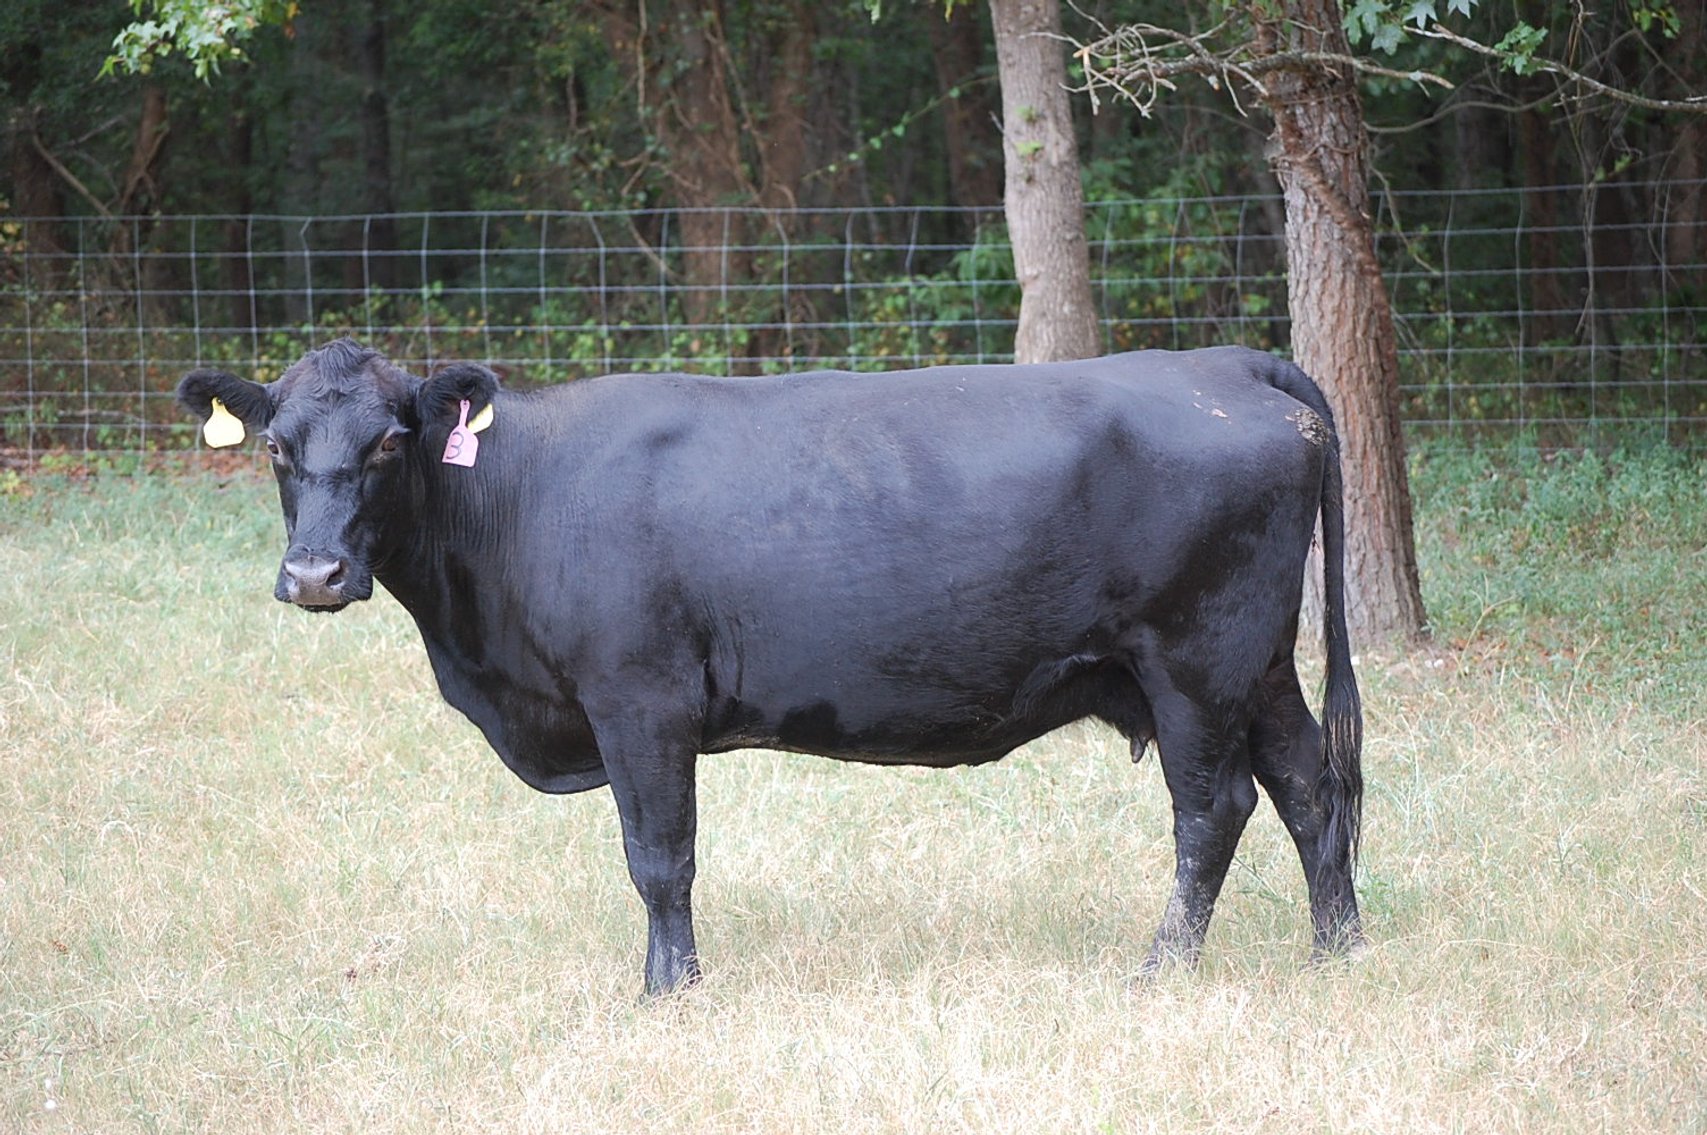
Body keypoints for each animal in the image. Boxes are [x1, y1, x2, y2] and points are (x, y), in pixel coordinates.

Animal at [177, 338, 1364, 996]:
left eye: (390, 439)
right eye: (277, 445)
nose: (316, 573)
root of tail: (1221, 365)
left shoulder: (640, 697)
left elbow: (659, 858)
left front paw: (670, 991)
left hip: (1195, 659)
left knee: (1214, 807)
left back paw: (1163, 967)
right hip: (1259, 660)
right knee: (1310, 783)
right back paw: (1336, 949)